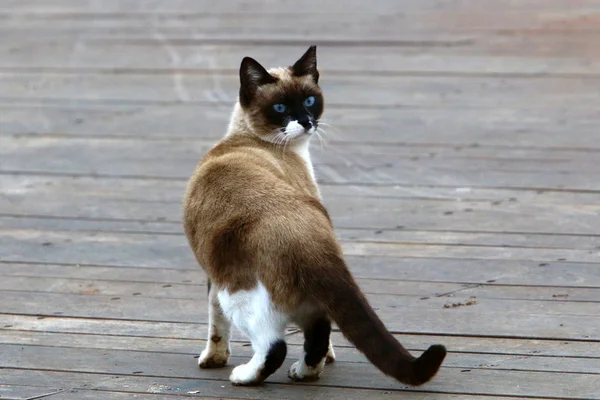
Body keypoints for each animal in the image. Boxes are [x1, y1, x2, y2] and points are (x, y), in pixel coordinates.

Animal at [183, 45, 446, 386]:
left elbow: (217, 322)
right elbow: (217, 323)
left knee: (275, 345)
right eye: (280, 107)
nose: (307, 122)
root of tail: (309, 239)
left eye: (309, 101)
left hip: (237, 293)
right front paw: (213, 358)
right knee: (317, 330)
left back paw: (248, 376)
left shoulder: (215, 279)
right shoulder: (212, 277)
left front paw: (214, 360)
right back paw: (304, 373)